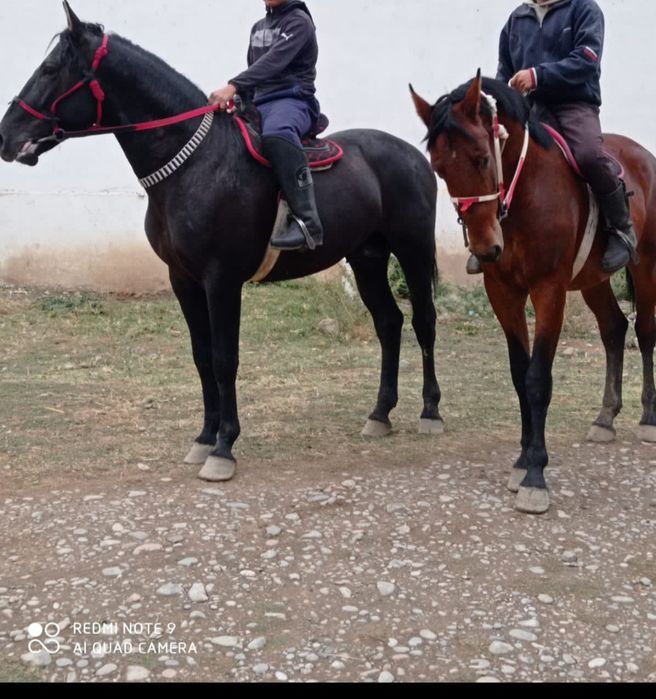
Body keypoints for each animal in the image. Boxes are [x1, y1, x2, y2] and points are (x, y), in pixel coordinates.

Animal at [0, 3, 444, 482]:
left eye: (50, 69)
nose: (6, 137)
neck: (195, 165)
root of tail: (413, 155)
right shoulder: (184, 280)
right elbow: (201, 356)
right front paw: (203, 438)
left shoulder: (222, 280)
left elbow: (223, 358)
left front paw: (224, 447)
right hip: (366, 258)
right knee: (389, 323)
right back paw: (380, 413)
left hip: (412, 250)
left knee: (424, 321)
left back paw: (430, 411)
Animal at [411, 73, 656, 514]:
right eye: (439, 168)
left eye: (481, 158)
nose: (486, 248)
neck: (525, 195)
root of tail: (644, 155)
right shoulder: (503, 292)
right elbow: (518, 374)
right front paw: (523, 459)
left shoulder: (549, 290)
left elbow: (538, 378)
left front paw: (536, 475)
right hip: (593, 280)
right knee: (614, 329)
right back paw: (605, 417)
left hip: (645, 266)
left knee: (645, 332)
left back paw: (648, 418)